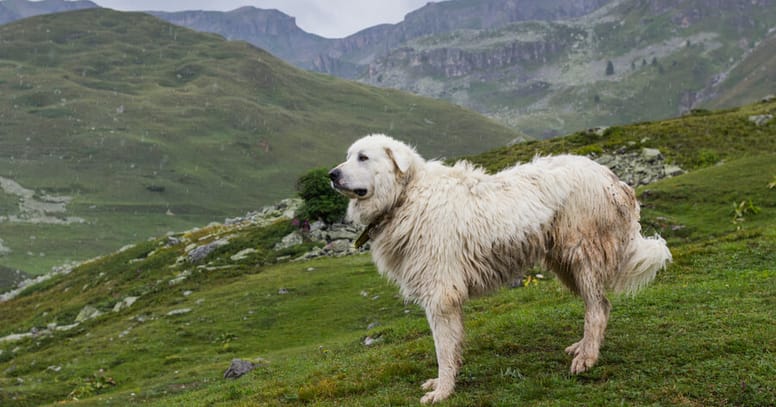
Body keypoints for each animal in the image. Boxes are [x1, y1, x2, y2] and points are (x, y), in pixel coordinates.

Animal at [330, 135, 668, 404]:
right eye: (348, 155)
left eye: (363, 157)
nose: (332, 175)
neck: (405, 197)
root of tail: (612, 178)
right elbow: (451, 346)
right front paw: (443, 383)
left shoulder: (441, 294)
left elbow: (443, 348)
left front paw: (442, 391)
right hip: (566, 264)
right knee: (598, 305)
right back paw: (583, 347)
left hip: (582, 255)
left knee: (597, 309)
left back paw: (587, 358)